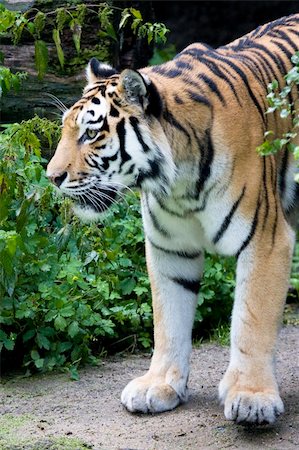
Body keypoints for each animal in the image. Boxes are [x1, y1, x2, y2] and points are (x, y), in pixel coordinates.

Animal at [47, 13, 299, 422]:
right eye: (67, 131)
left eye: (91, 134)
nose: (51, 177)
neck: (177, 184)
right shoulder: (170, 249)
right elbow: (168, 320)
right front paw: (158, 385)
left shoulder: (266, 237)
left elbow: (252, 320)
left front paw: (252, 396)